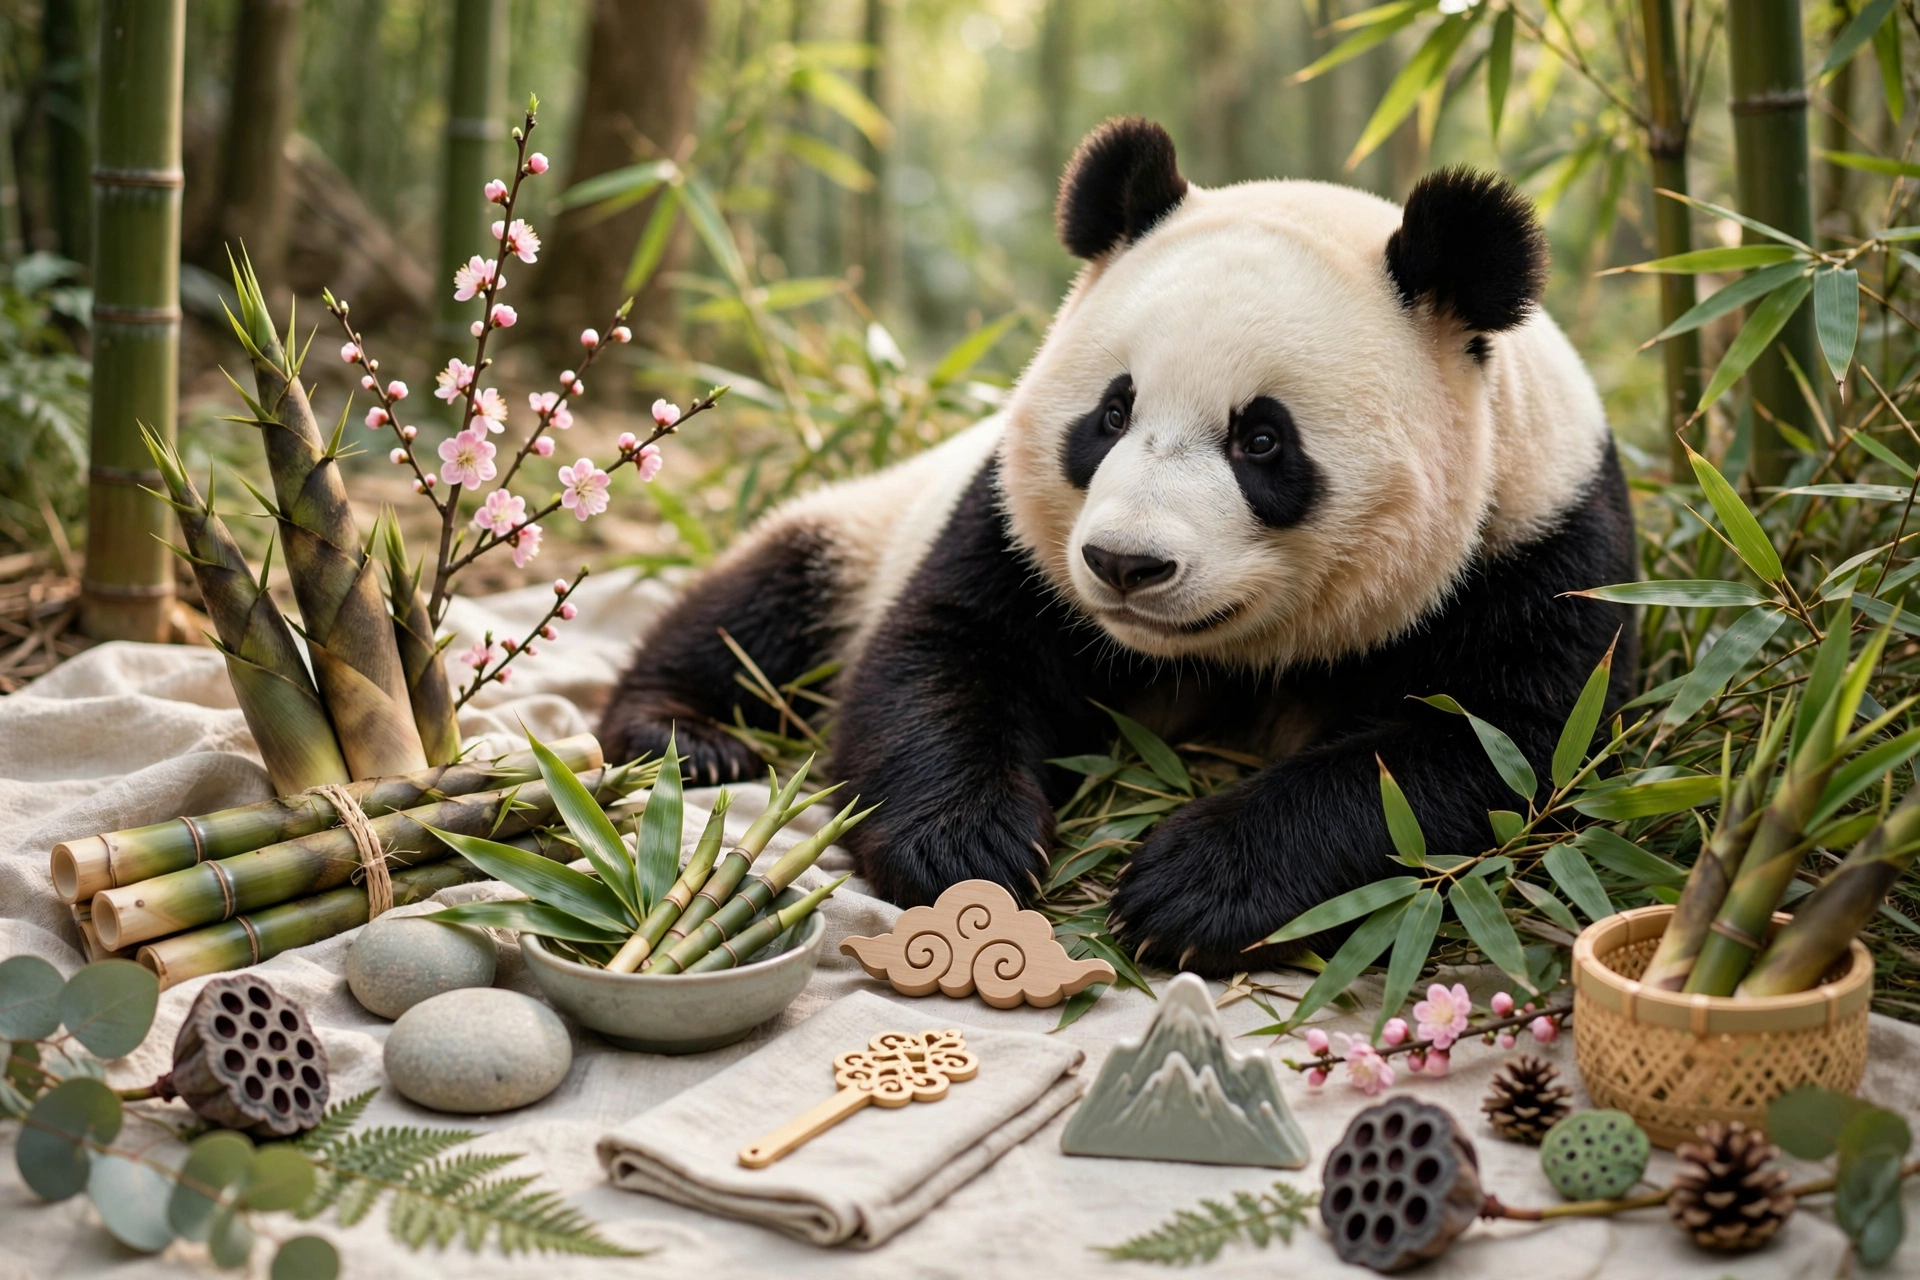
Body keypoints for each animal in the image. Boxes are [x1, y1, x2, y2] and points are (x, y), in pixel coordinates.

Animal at [601, 117, 1637, 975]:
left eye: (1264, 441)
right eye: (1110, 414)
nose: (1126, 566)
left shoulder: (1539, 541)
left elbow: (1495, 748)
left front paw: (1193, 889)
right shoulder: (1012, 526)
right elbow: (942, 649)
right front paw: (968, 846)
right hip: (868, 525)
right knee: (764, 604)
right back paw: (684, 736)